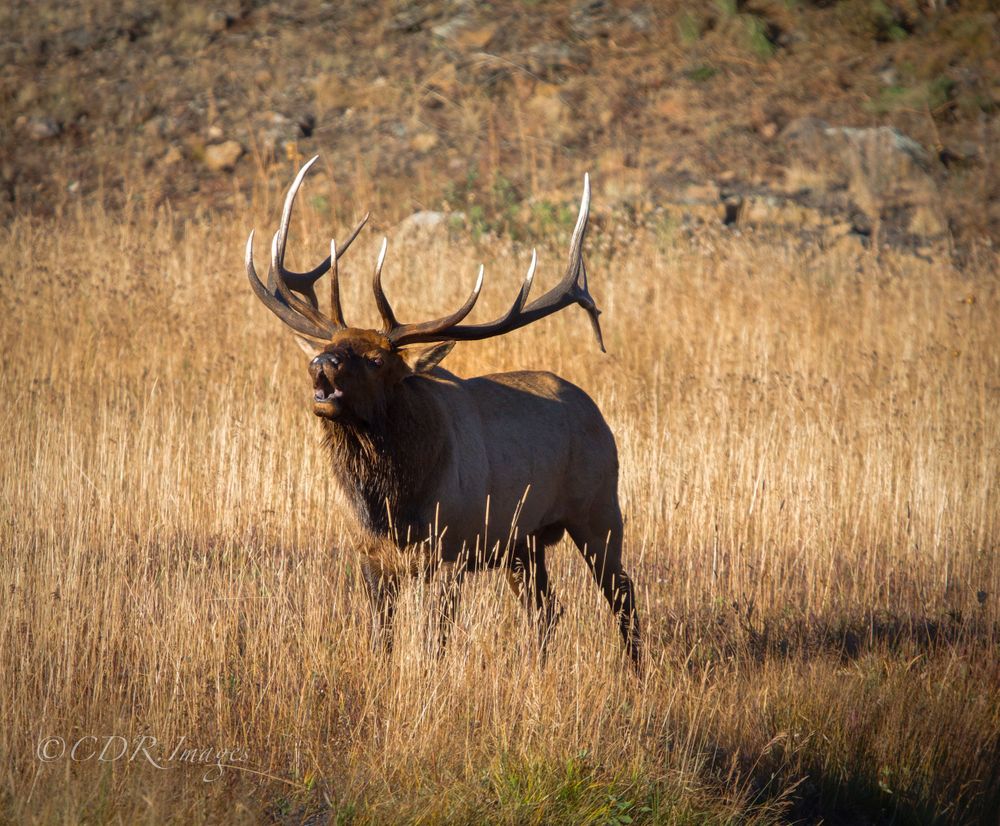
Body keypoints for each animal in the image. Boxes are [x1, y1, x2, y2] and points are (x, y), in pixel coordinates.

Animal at [245, 156, 640, 668]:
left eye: (377, 360)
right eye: (332, 345)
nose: (321, 364)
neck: (394, 506)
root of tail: (598, 415)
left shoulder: (451, 552)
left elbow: (435, 640)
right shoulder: (370, 556)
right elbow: (382, 635)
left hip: (598, 508)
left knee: (622, 591)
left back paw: (636, 671)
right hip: (523, 541)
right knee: (547, 608)